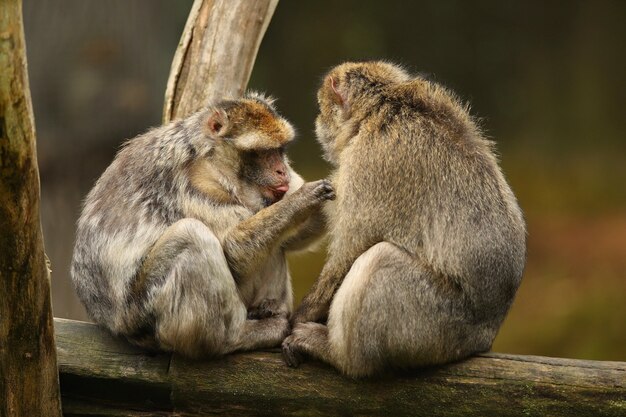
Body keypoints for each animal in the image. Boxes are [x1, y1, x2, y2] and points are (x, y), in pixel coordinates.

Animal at [70, 92, 334, 356]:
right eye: (263, 152)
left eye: (280, 150)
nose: (282, 171)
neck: (212, 160)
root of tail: (112, 322)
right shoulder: (198, 186)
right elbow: (233, 253)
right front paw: (304, 198)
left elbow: (294, 239)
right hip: (143, 311)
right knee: (190, 235)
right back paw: (239, 335)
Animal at [282, 61, 528, 376]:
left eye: (320, 107)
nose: (317, 120)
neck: (380, 108)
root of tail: (483, 336)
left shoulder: (369, 164)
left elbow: (351, 250)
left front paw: (298, 318)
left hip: (432, 322)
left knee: (381, 258)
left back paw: (338, 354)